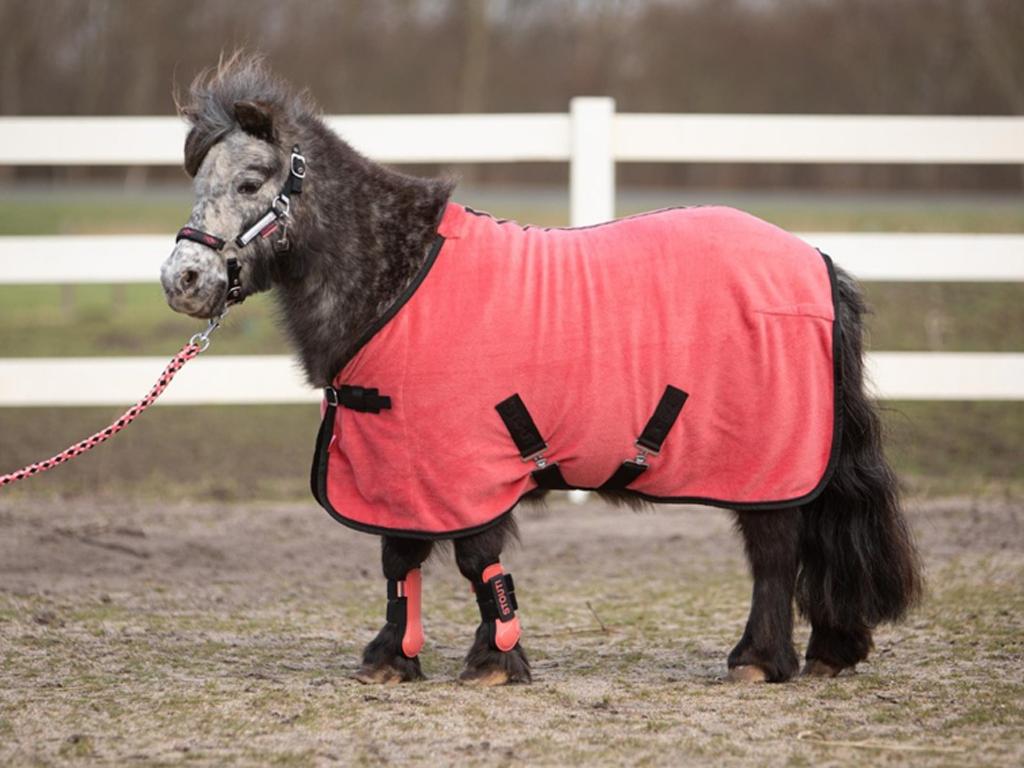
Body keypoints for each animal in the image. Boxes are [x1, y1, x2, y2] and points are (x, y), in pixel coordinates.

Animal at [161, 56, 922, 686]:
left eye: (251, 181)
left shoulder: (467, 467)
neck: (397, 282)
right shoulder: (399, 466)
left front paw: (494, 663)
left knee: (774, 550)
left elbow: (477, 562)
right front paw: (391, 659)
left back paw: (758, 660)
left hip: (766, 463)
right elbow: (399, 560)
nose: (182, 280)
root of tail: (815, 261)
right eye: (198, 182)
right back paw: (825, 650)